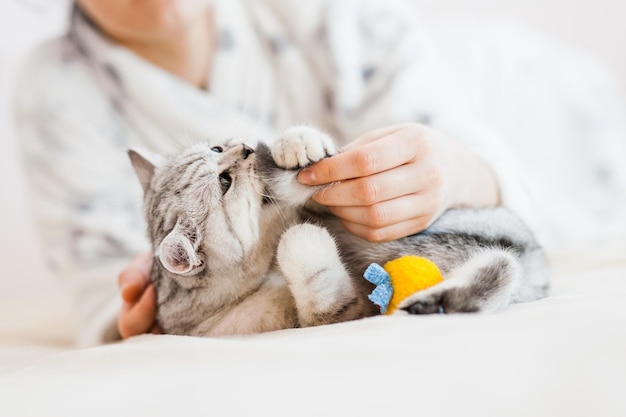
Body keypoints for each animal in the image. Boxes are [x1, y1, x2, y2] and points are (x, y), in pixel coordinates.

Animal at [129, 125, 544, 336]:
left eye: (217, 148)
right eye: (225, 183)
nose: (246, 147)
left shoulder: (313, 201)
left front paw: (297, 142)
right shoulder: (335, 313)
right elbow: (301, 251)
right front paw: (302, 237)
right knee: (501, 266)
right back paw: (438, 301)